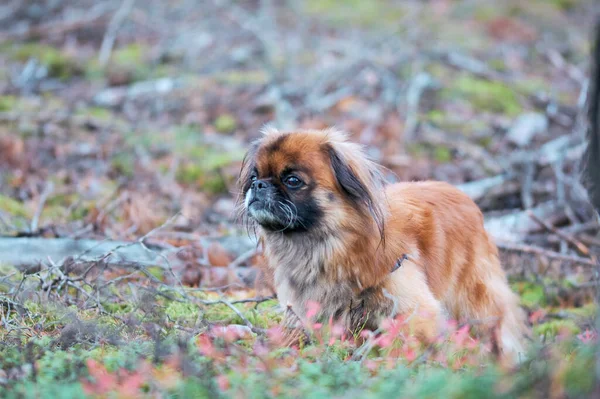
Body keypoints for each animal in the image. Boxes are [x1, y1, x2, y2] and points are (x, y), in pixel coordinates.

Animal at [238, 126, 528, 364]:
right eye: (253, 177)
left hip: (475, 301)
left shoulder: (410, 309)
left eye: (292, 180)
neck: (324, 245)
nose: (259, 185)